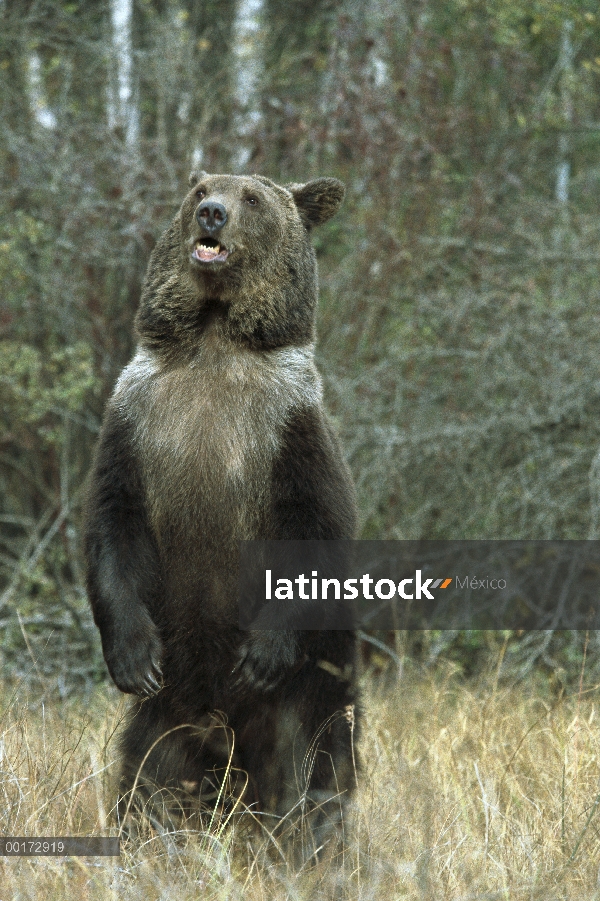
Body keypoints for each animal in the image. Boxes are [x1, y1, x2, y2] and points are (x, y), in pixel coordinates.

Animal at [82, 169, 358, 852]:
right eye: (201, 188)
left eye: (252, 198)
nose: (212, 212)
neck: (213, 338)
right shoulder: (137, 421)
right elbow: (114, 524)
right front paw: (133, 657)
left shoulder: (287, 429)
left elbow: (314, 528)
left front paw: (262, 654)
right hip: (169, 715)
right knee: (149, 772)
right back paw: (148, 835)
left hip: (306, 695)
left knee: (307, 770)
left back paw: (308, 845)